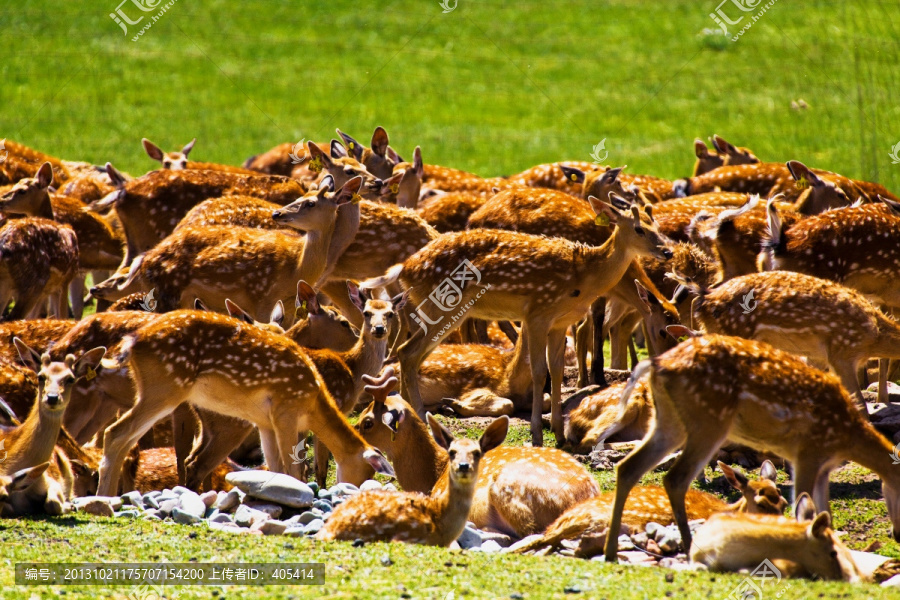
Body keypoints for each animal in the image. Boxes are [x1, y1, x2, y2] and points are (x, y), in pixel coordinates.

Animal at [600, 332, 900, 564]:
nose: (896, 534)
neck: (845, 438)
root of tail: (656, 364)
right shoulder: (807, 452)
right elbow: (803, 504)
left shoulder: (824, 466)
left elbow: (825, 512)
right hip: (708, 421)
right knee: (675, 477)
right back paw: (689, 547)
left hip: (667, 421)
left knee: (628, 466)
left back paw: (611, 551)